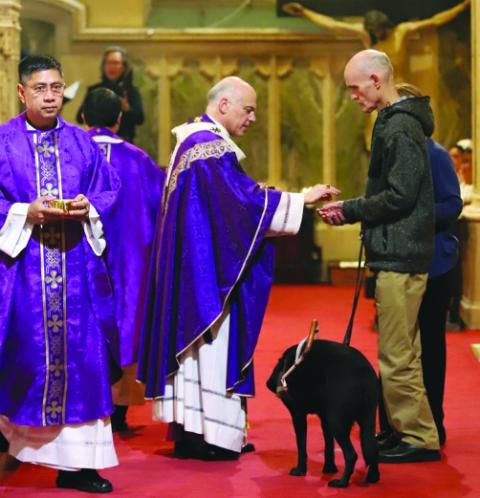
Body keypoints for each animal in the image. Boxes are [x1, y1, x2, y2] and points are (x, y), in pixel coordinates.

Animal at [266, 338, 378, 486]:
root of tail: (362, 376)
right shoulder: (324, 419)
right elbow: (328, 446)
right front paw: (329, 469)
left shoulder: (298, 415)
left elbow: (301, 446)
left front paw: (300, 471)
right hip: (366, 421)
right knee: (372, 448)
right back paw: (372, 478)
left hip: (337, 422)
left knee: (351, 455)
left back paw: (342, 482)